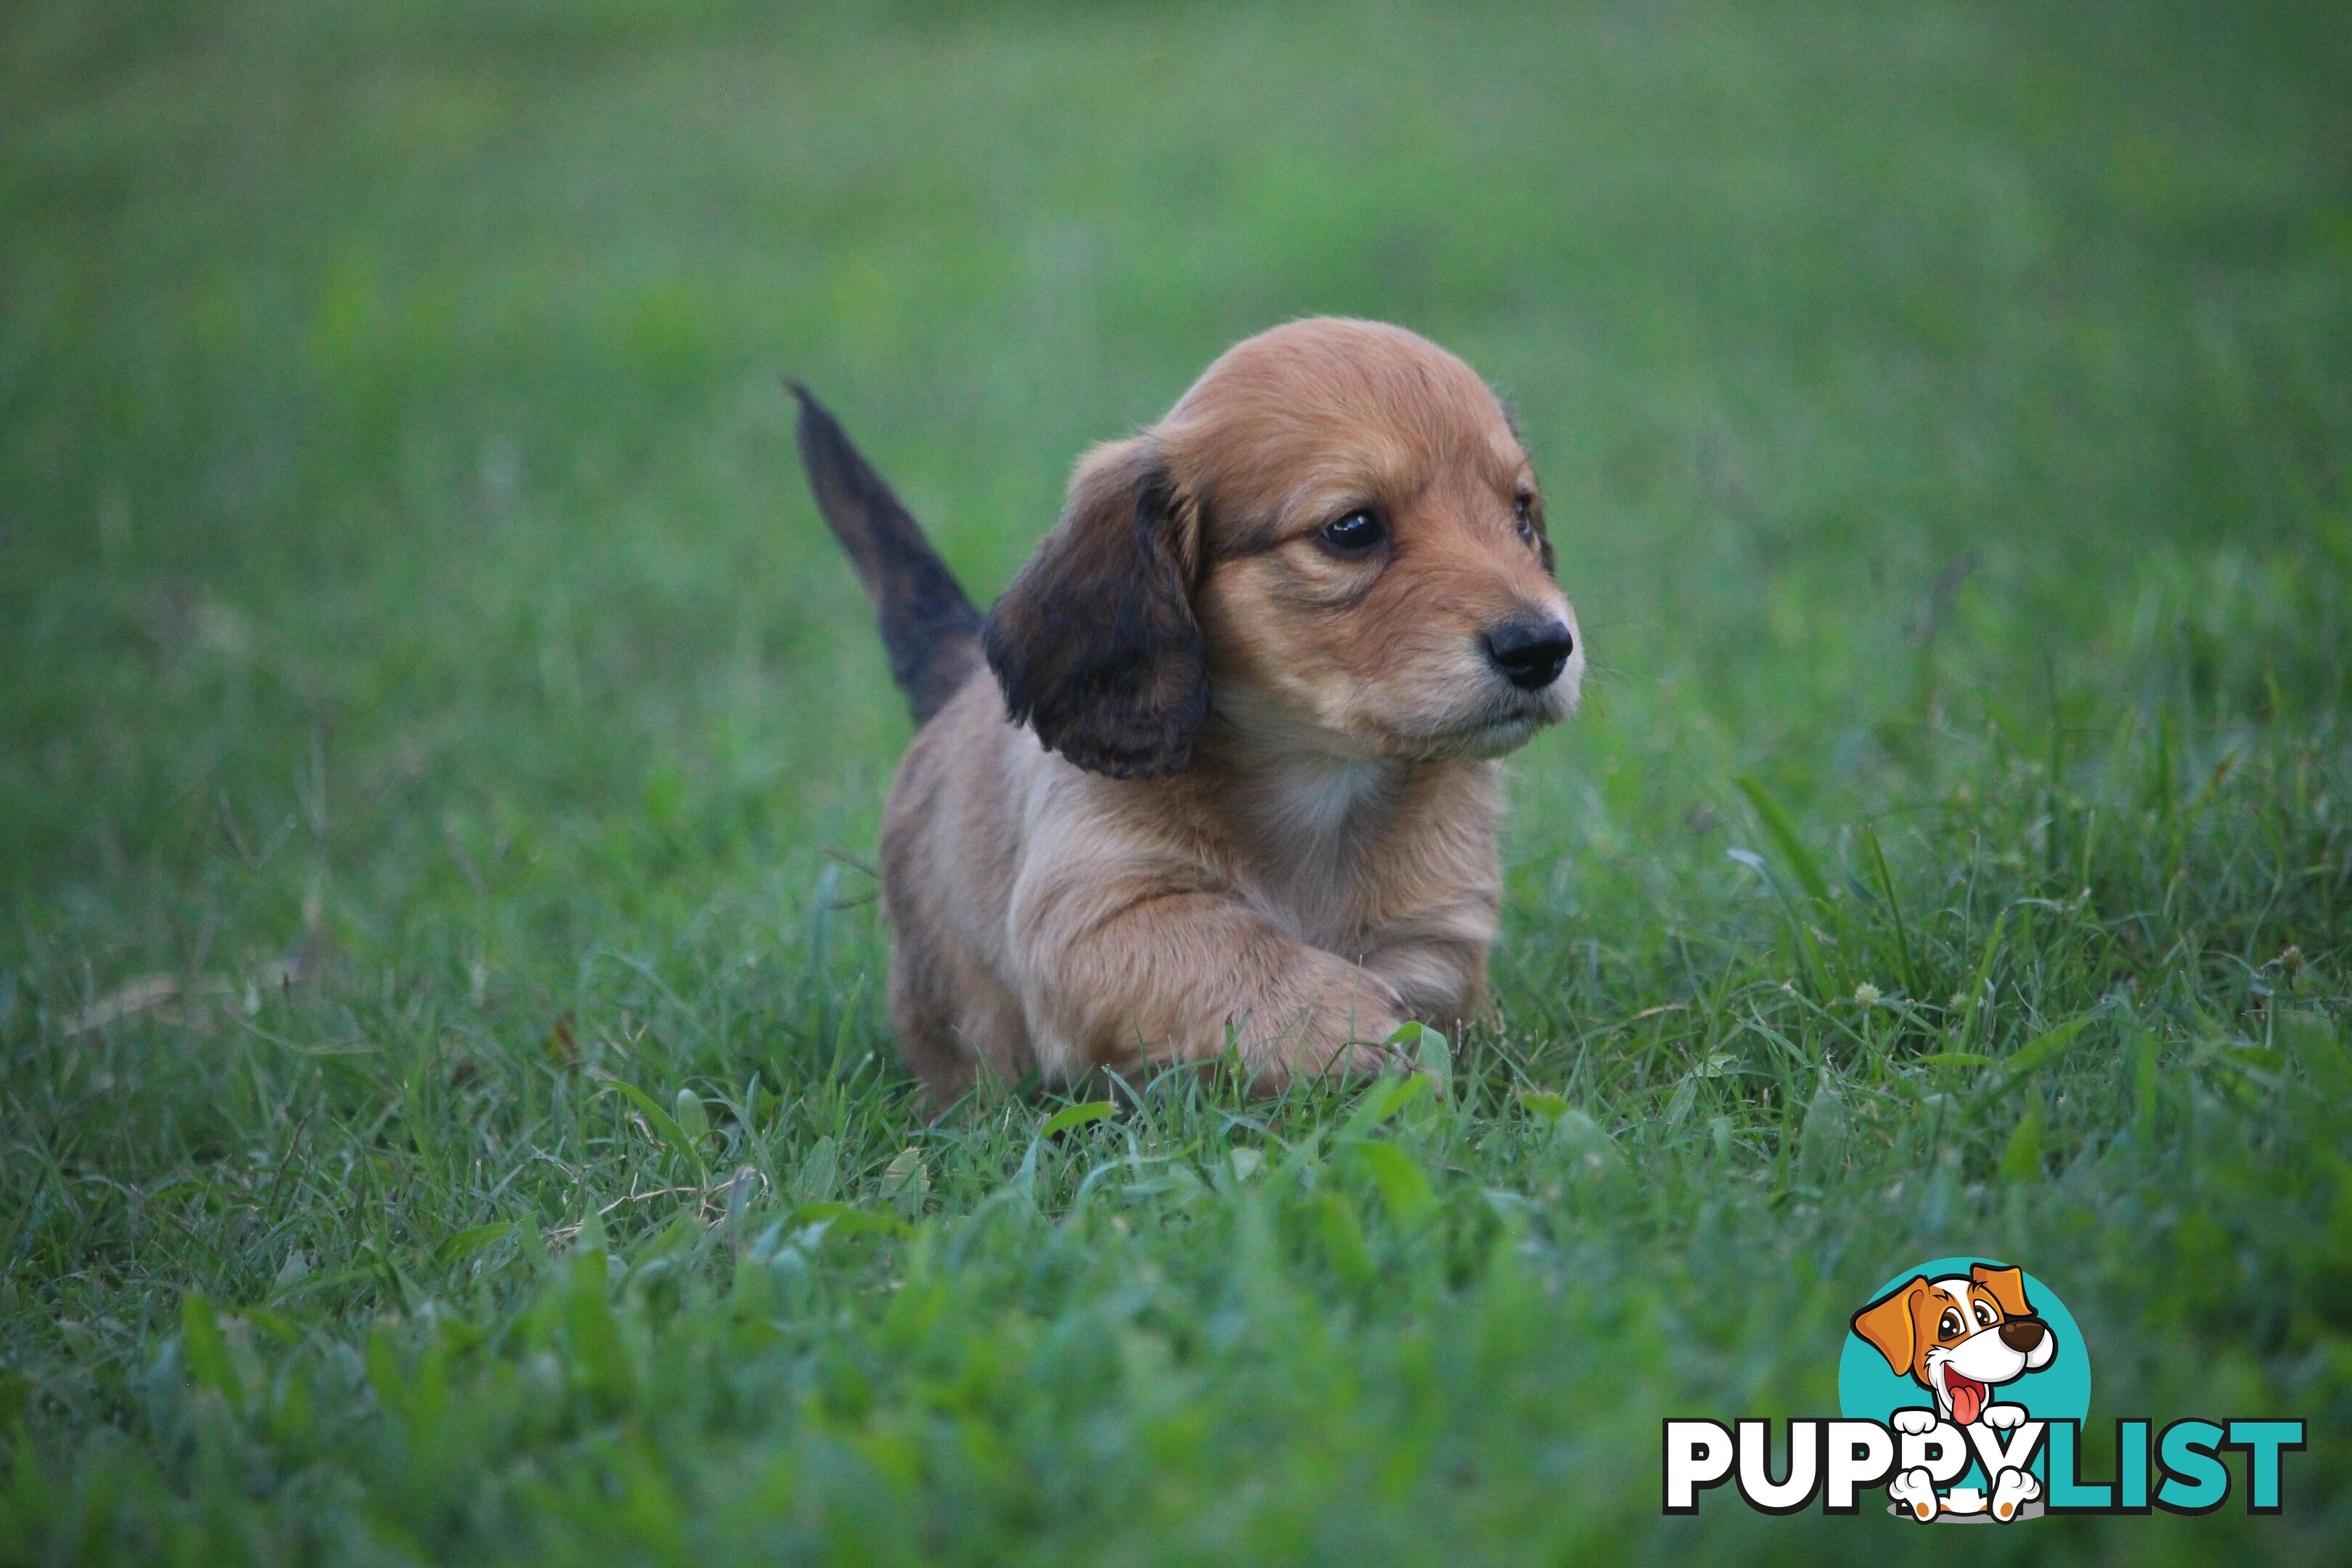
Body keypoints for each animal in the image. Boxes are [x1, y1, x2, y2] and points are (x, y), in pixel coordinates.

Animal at [790, 314, 1580, 1105]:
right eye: (1353, 528)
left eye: (1520, 511)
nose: (1543, 648)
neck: (1319, 784)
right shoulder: (1092, 912)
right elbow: (1226, 946)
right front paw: (1344, 1024)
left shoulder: (1440, 924)